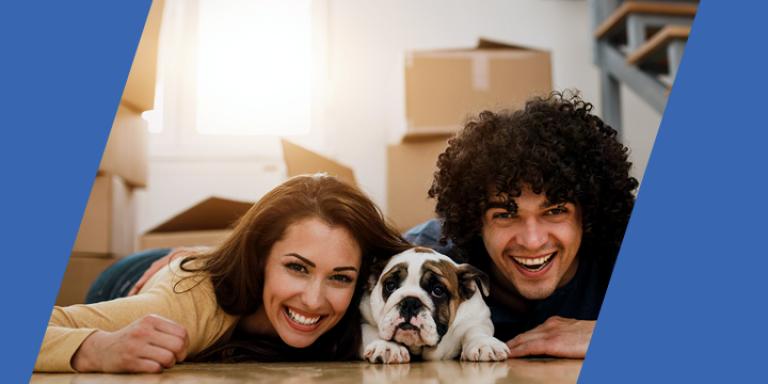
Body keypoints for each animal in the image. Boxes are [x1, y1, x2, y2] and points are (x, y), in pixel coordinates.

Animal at [360, 246, 510, 364]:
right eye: (390, 285)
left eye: (438, 290)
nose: (410, 302)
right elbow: (372, 331)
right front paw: (387, 346)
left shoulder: (477, 318)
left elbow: (475, 331)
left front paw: (484, 344)